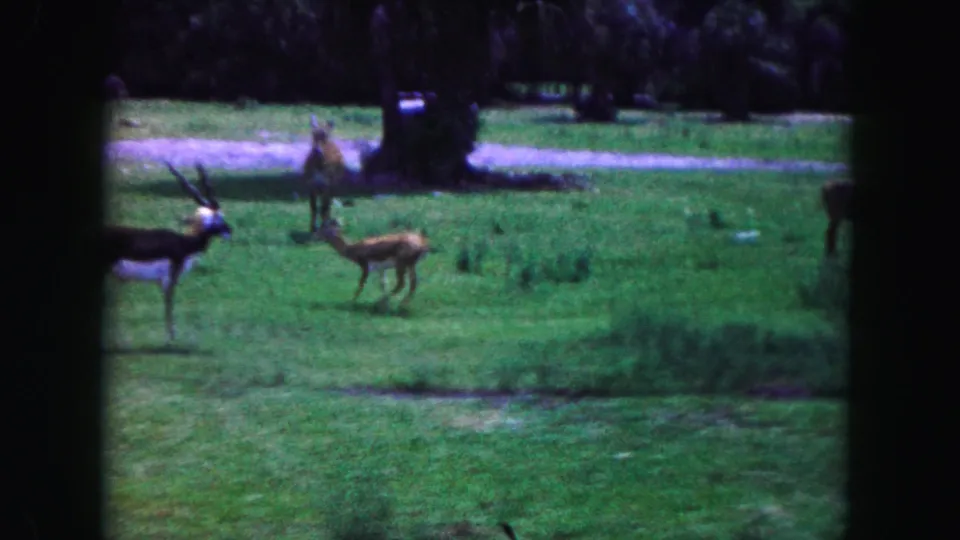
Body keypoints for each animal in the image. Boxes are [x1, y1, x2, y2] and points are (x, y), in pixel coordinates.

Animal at [104, 162, 232, 341]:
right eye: (218, 218)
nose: (229, 231)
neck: (184, 243)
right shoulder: (170, 279)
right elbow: (169, 305)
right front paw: (171, 338)